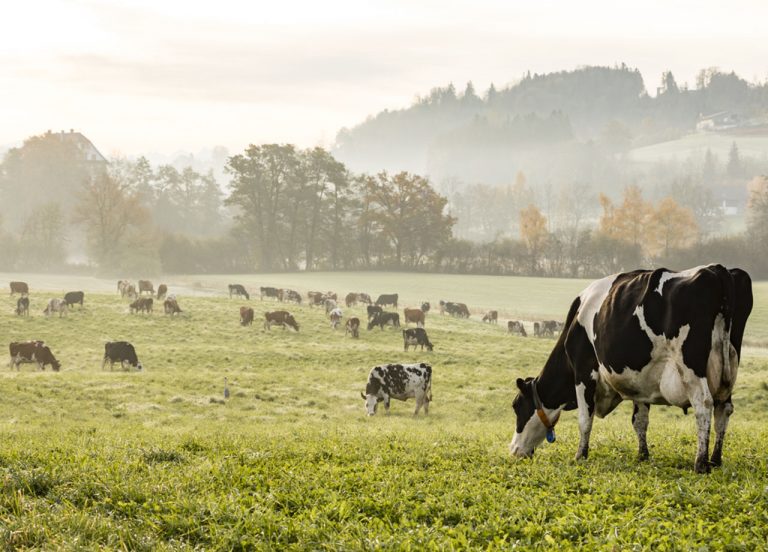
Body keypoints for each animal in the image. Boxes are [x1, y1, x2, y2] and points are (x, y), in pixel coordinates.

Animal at [508, 266, 752, 472]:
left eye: (517, 406)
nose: (514, 450)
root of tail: (717, 269)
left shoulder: (583, 371)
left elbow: (585, 419)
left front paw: (580, 455)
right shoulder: (641, 381)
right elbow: (639, 420)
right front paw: (642, 455)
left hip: (691, 367)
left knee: (704, 405)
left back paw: (701, 463)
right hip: (729, 369)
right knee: (724, 409)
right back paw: (715, 459)